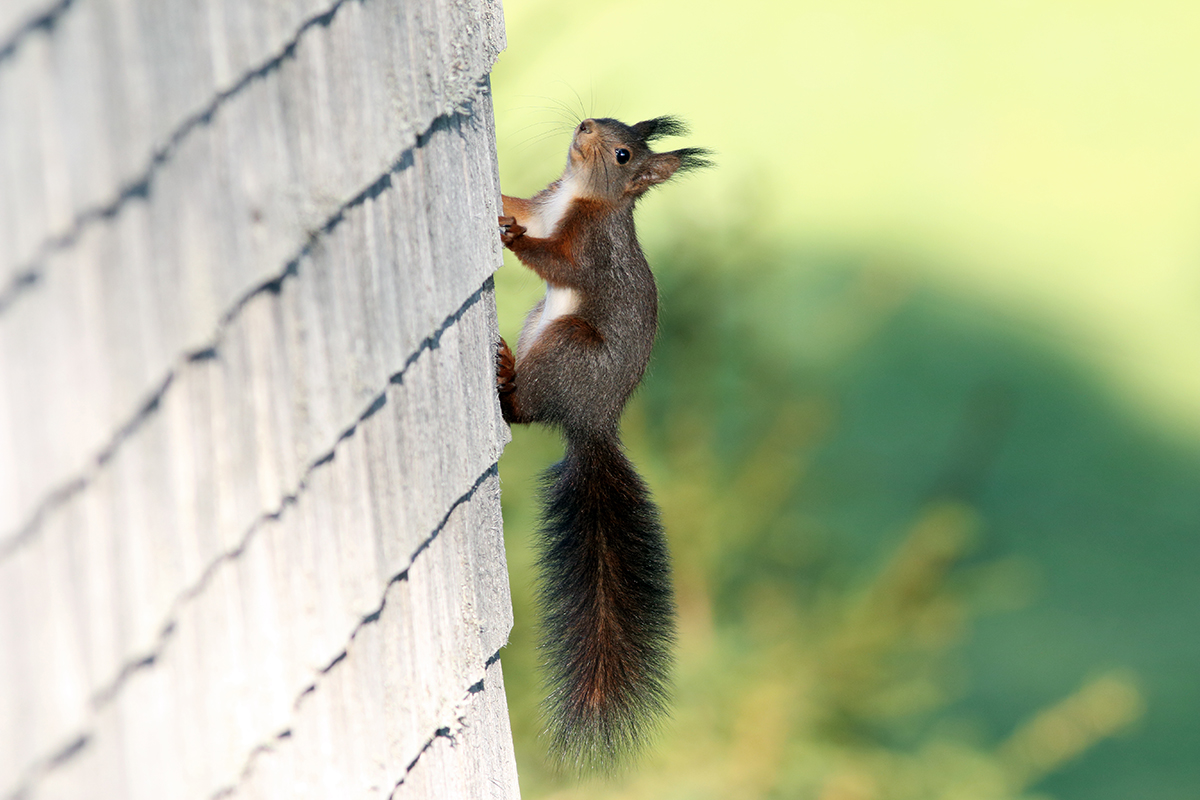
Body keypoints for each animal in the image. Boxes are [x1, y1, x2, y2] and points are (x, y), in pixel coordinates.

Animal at [492, 113, 705, 767]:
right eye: (610, 122)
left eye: (622, 153)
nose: (585, 125)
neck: (577, 194)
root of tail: (592, 423)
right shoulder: (544, 203)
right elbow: (518, 203)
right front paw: (497, 203)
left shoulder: (590, 248)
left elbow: (561, 264)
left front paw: (513, 242)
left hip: (566, 343)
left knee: (527, 411)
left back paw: (506, 388)